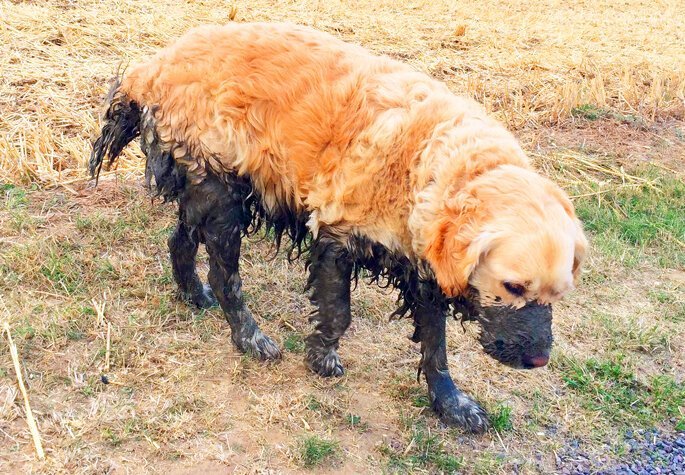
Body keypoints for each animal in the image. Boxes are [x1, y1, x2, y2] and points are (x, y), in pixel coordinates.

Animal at [88, 22, 584, 434]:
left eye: (559, 294)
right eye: (513, 286)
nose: (539, 359)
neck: (432, 162)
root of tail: (154, 66)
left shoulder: (421, 268)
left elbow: (436, 346)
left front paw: (451, 403)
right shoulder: (337, 237)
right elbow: (339, 313)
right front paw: (321, 359)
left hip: (204, 190)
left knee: (178, 241)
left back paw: (193, 294)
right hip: (222, 195)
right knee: (224, 275)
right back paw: (250, 337)